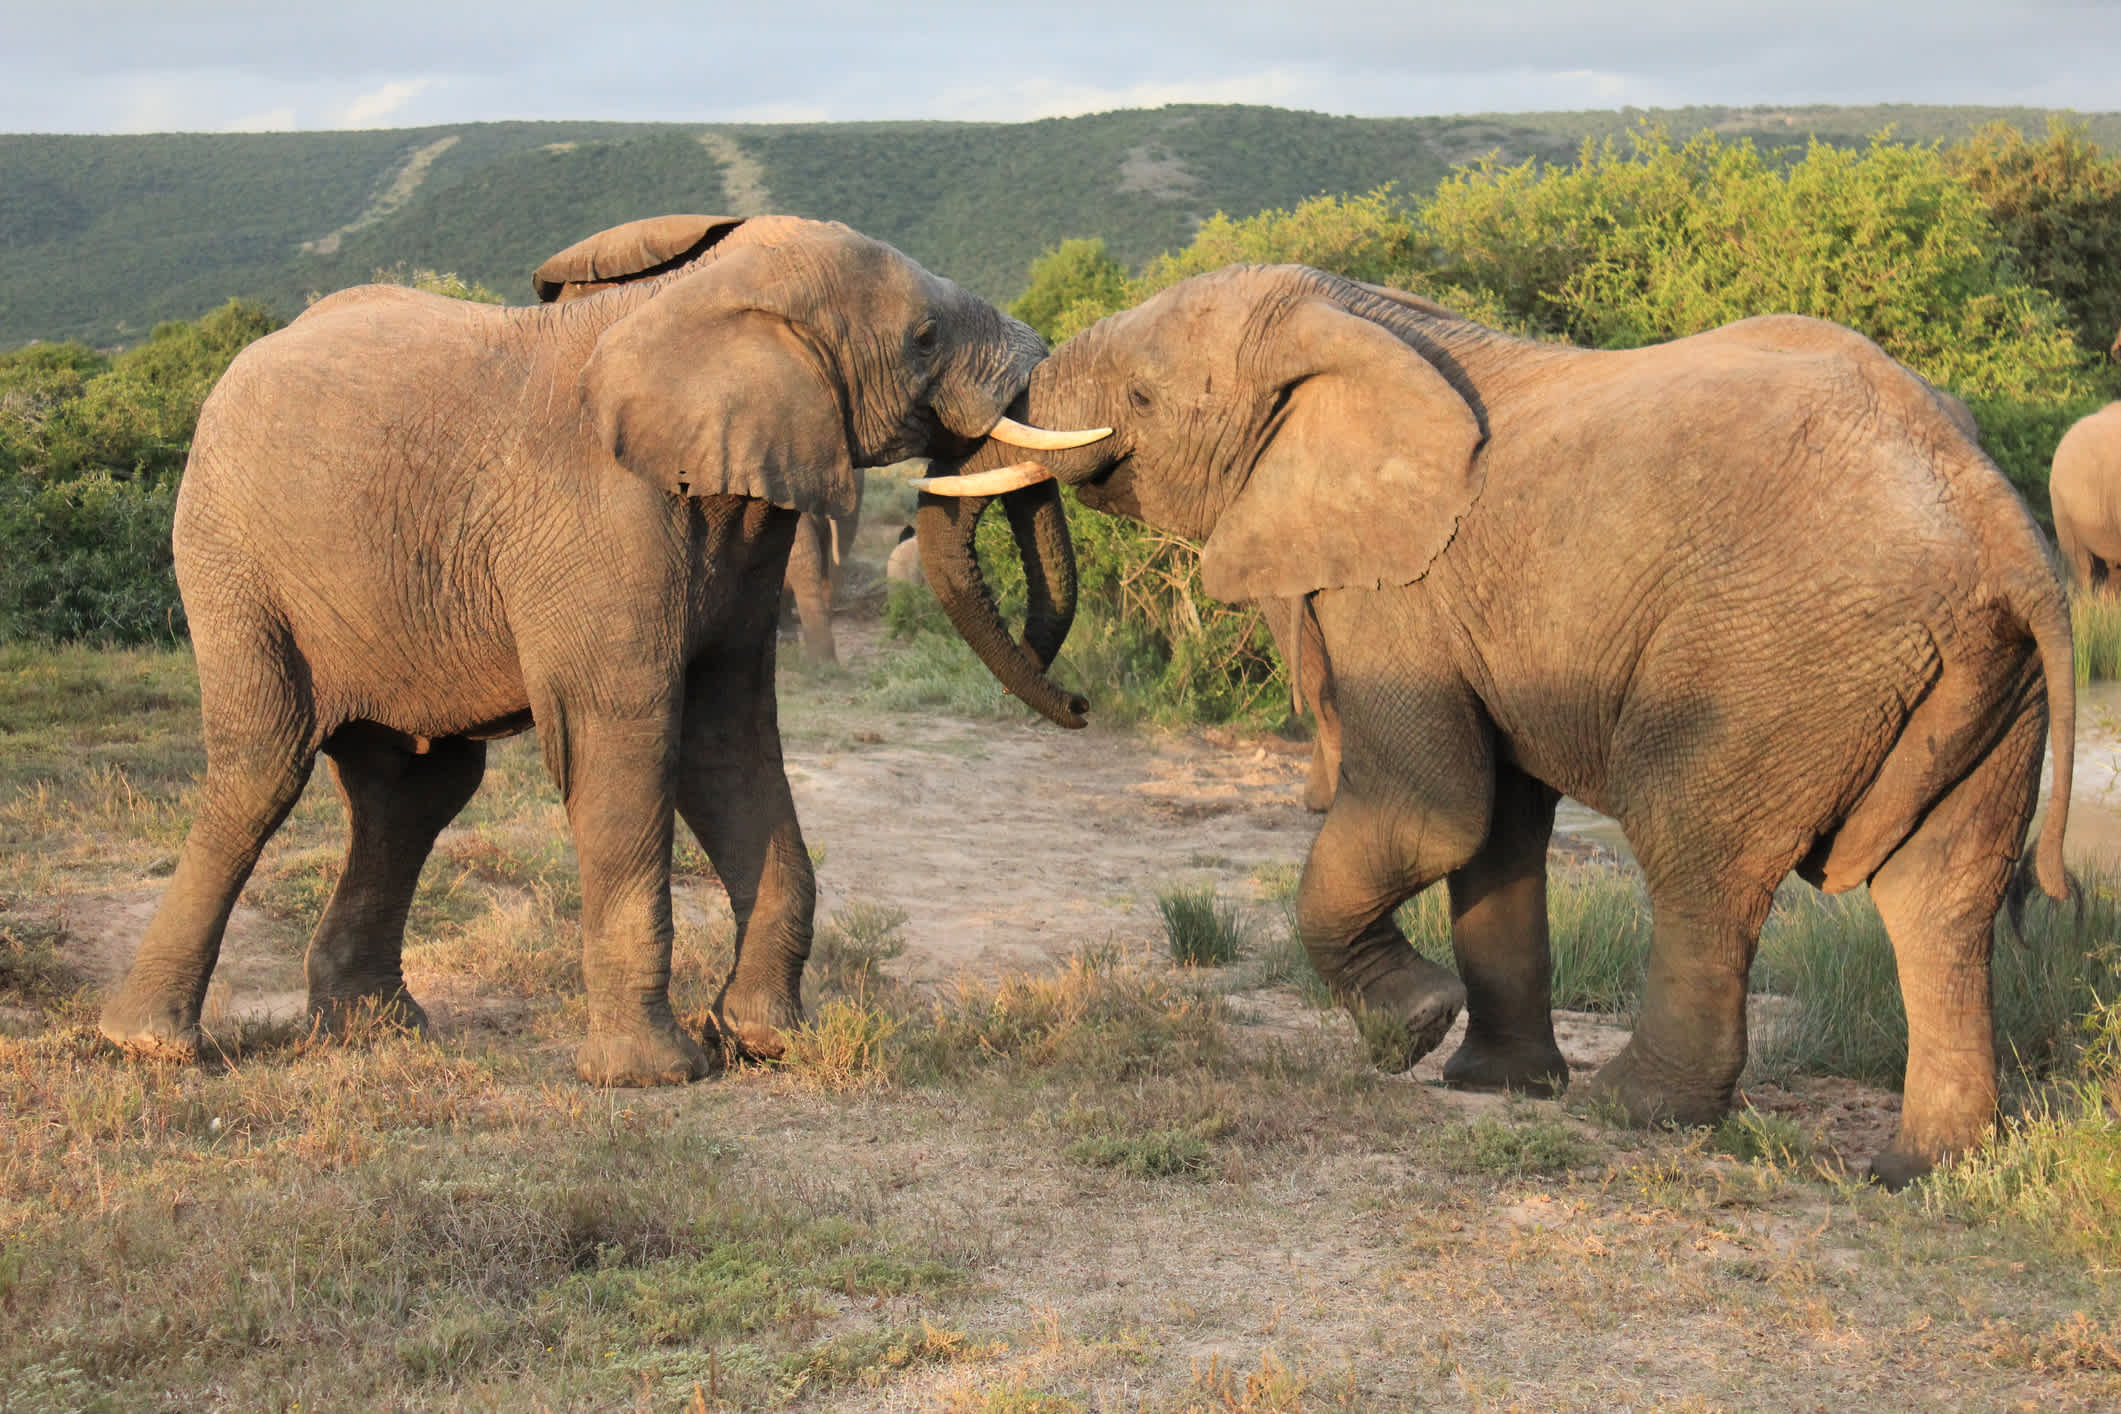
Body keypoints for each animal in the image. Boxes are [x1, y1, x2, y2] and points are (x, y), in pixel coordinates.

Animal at [91, 216, 1102, 1093]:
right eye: (924, 338)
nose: (1081, 705)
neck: (700, 301)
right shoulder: (602, 519)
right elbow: (627, 743)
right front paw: (657, 1075)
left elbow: (728, 743)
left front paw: (765, 1041)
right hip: (229, 559)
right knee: (265, 768)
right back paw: (152, 1046)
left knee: (413, 792)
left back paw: (376, 1028)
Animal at [924, 262, 2070, 1187]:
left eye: (1141, 398)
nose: (1077, 706)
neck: (1352, 319)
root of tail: (1998, 521)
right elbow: (1497, 832)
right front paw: (1492, 1085)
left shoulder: (1398, 591)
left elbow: (1430, 813)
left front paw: (1412, 1033)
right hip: (1982, 685)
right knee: (1942, 900)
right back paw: (1920, 1170)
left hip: (1774, 661)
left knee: (1698, 858)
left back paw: (1634, 1113)